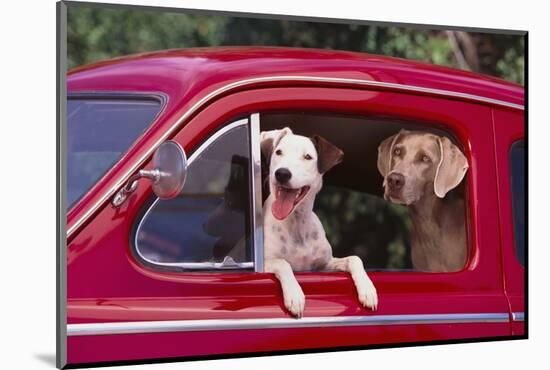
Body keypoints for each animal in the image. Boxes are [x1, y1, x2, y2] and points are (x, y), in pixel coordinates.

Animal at [260, 128, 378, 318]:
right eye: (278, 152)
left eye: (308, 157)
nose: (282, 173)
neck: (297, 222)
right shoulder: (264, 263)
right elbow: (283, 263)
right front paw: (294, 295)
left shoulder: (323, 265)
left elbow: (354, 258)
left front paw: (367, 289)